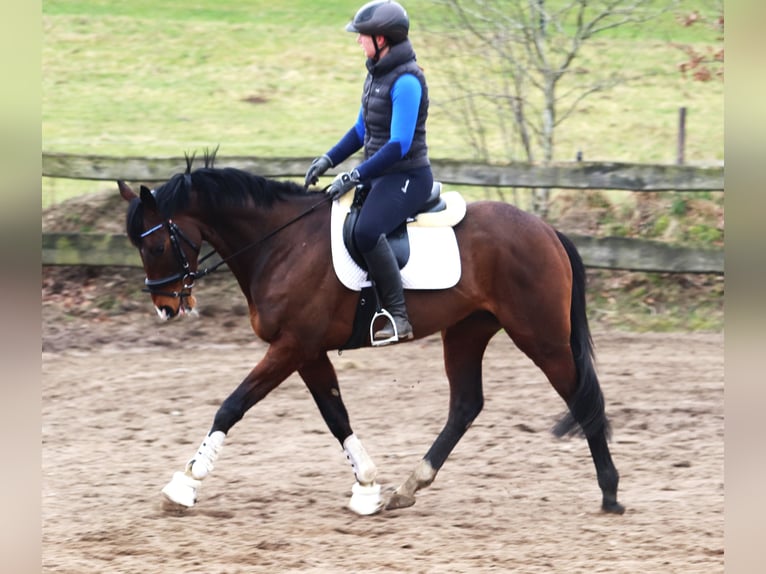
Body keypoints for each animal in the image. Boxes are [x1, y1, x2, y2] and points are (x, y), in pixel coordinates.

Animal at [118, 158, 624, 516]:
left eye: (156, 245)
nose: (165, 308)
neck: (281, 244)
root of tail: (547, 231)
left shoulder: (292, 346)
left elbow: (233, 405)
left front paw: (185, 484)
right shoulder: (307, 351)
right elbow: (335, 414)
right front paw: (367, 486)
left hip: (541, 336)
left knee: (580, 396)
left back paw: (610, 492)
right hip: (467, 331)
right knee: (466, 405)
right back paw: (409, 487)